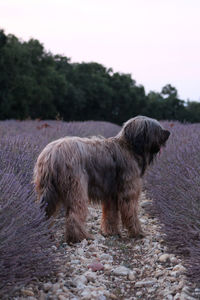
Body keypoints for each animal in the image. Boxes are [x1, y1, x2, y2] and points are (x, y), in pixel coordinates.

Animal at [33, 116, 170, 243]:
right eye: (156, 129)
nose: (168, 132)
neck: (129, 146)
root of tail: (51, 153)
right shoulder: (128, 192)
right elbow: (131, 212)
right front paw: (137, 232)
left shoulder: (111, 194)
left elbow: (111, 214)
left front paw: (111, 232)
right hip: (76, 188)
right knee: (74, 214)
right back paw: (79, 237)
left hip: (47, 191)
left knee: (46, 212)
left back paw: (45, 233)